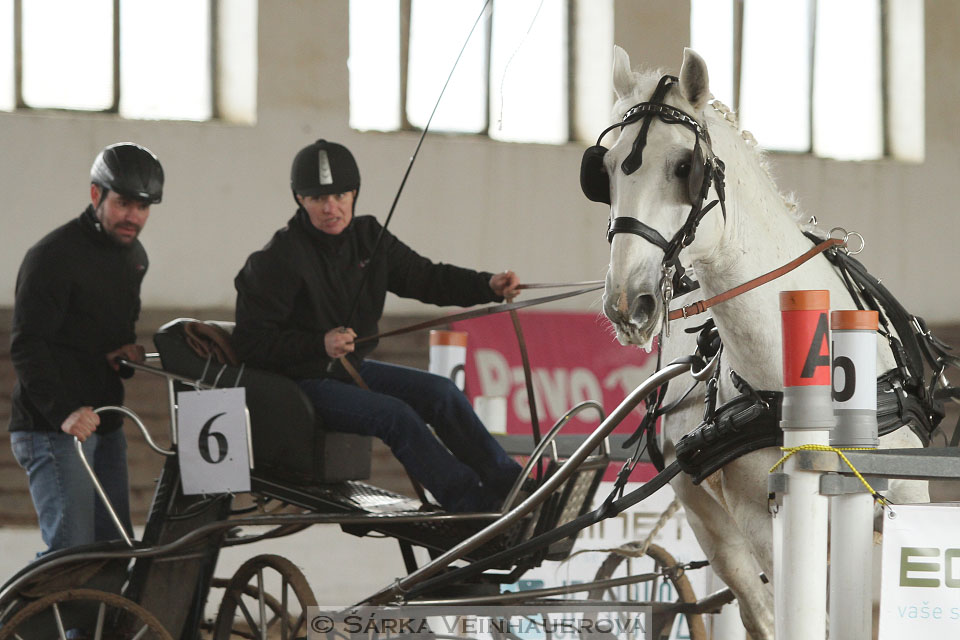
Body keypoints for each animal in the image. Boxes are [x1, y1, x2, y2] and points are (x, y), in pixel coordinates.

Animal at [596, 47, 928, 636]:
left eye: (683, 167)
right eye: (606, 170)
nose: (627, 303)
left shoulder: (905, 497)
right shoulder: (764, 524)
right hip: (714, 527)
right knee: (757, 610)